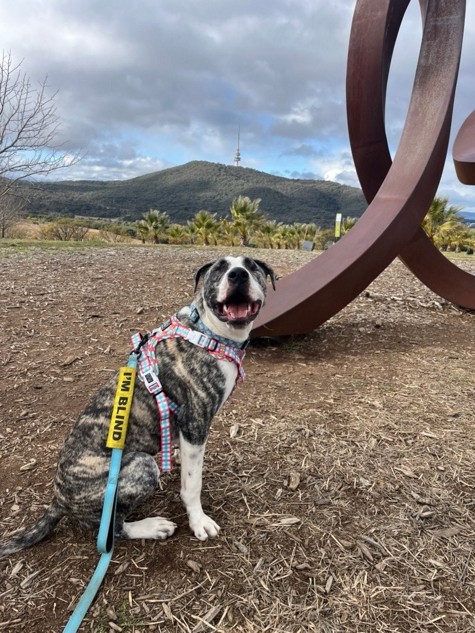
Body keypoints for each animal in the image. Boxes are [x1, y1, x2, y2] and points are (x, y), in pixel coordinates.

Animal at [0, 254, 276, 556]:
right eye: (219, 269)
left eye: (252, 267)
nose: (238, 274)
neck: (208, 331)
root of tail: (58, 498)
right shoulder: (195, 420)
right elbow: (193, 483)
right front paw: (199, 521)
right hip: (142, 467)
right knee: (110, 528)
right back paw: (152, 527)